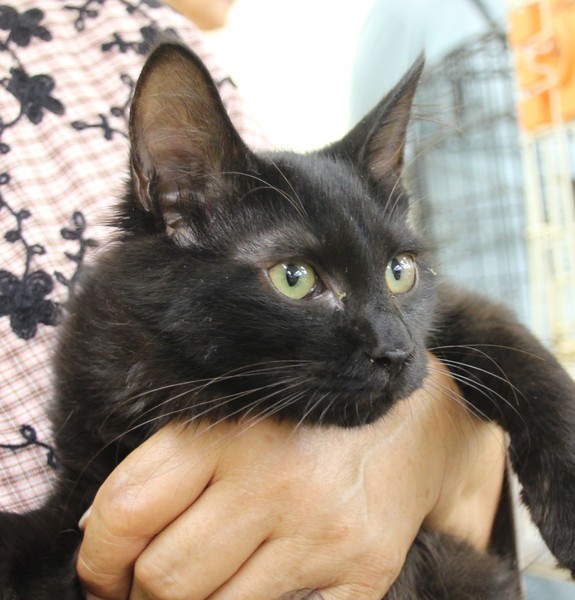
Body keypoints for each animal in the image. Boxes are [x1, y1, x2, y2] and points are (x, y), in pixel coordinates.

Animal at [1, 38, 575, 599]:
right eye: (294, 278)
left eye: (399, 271)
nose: (396, 351)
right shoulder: (80, 485)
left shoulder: (450, 311)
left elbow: (516, 346)